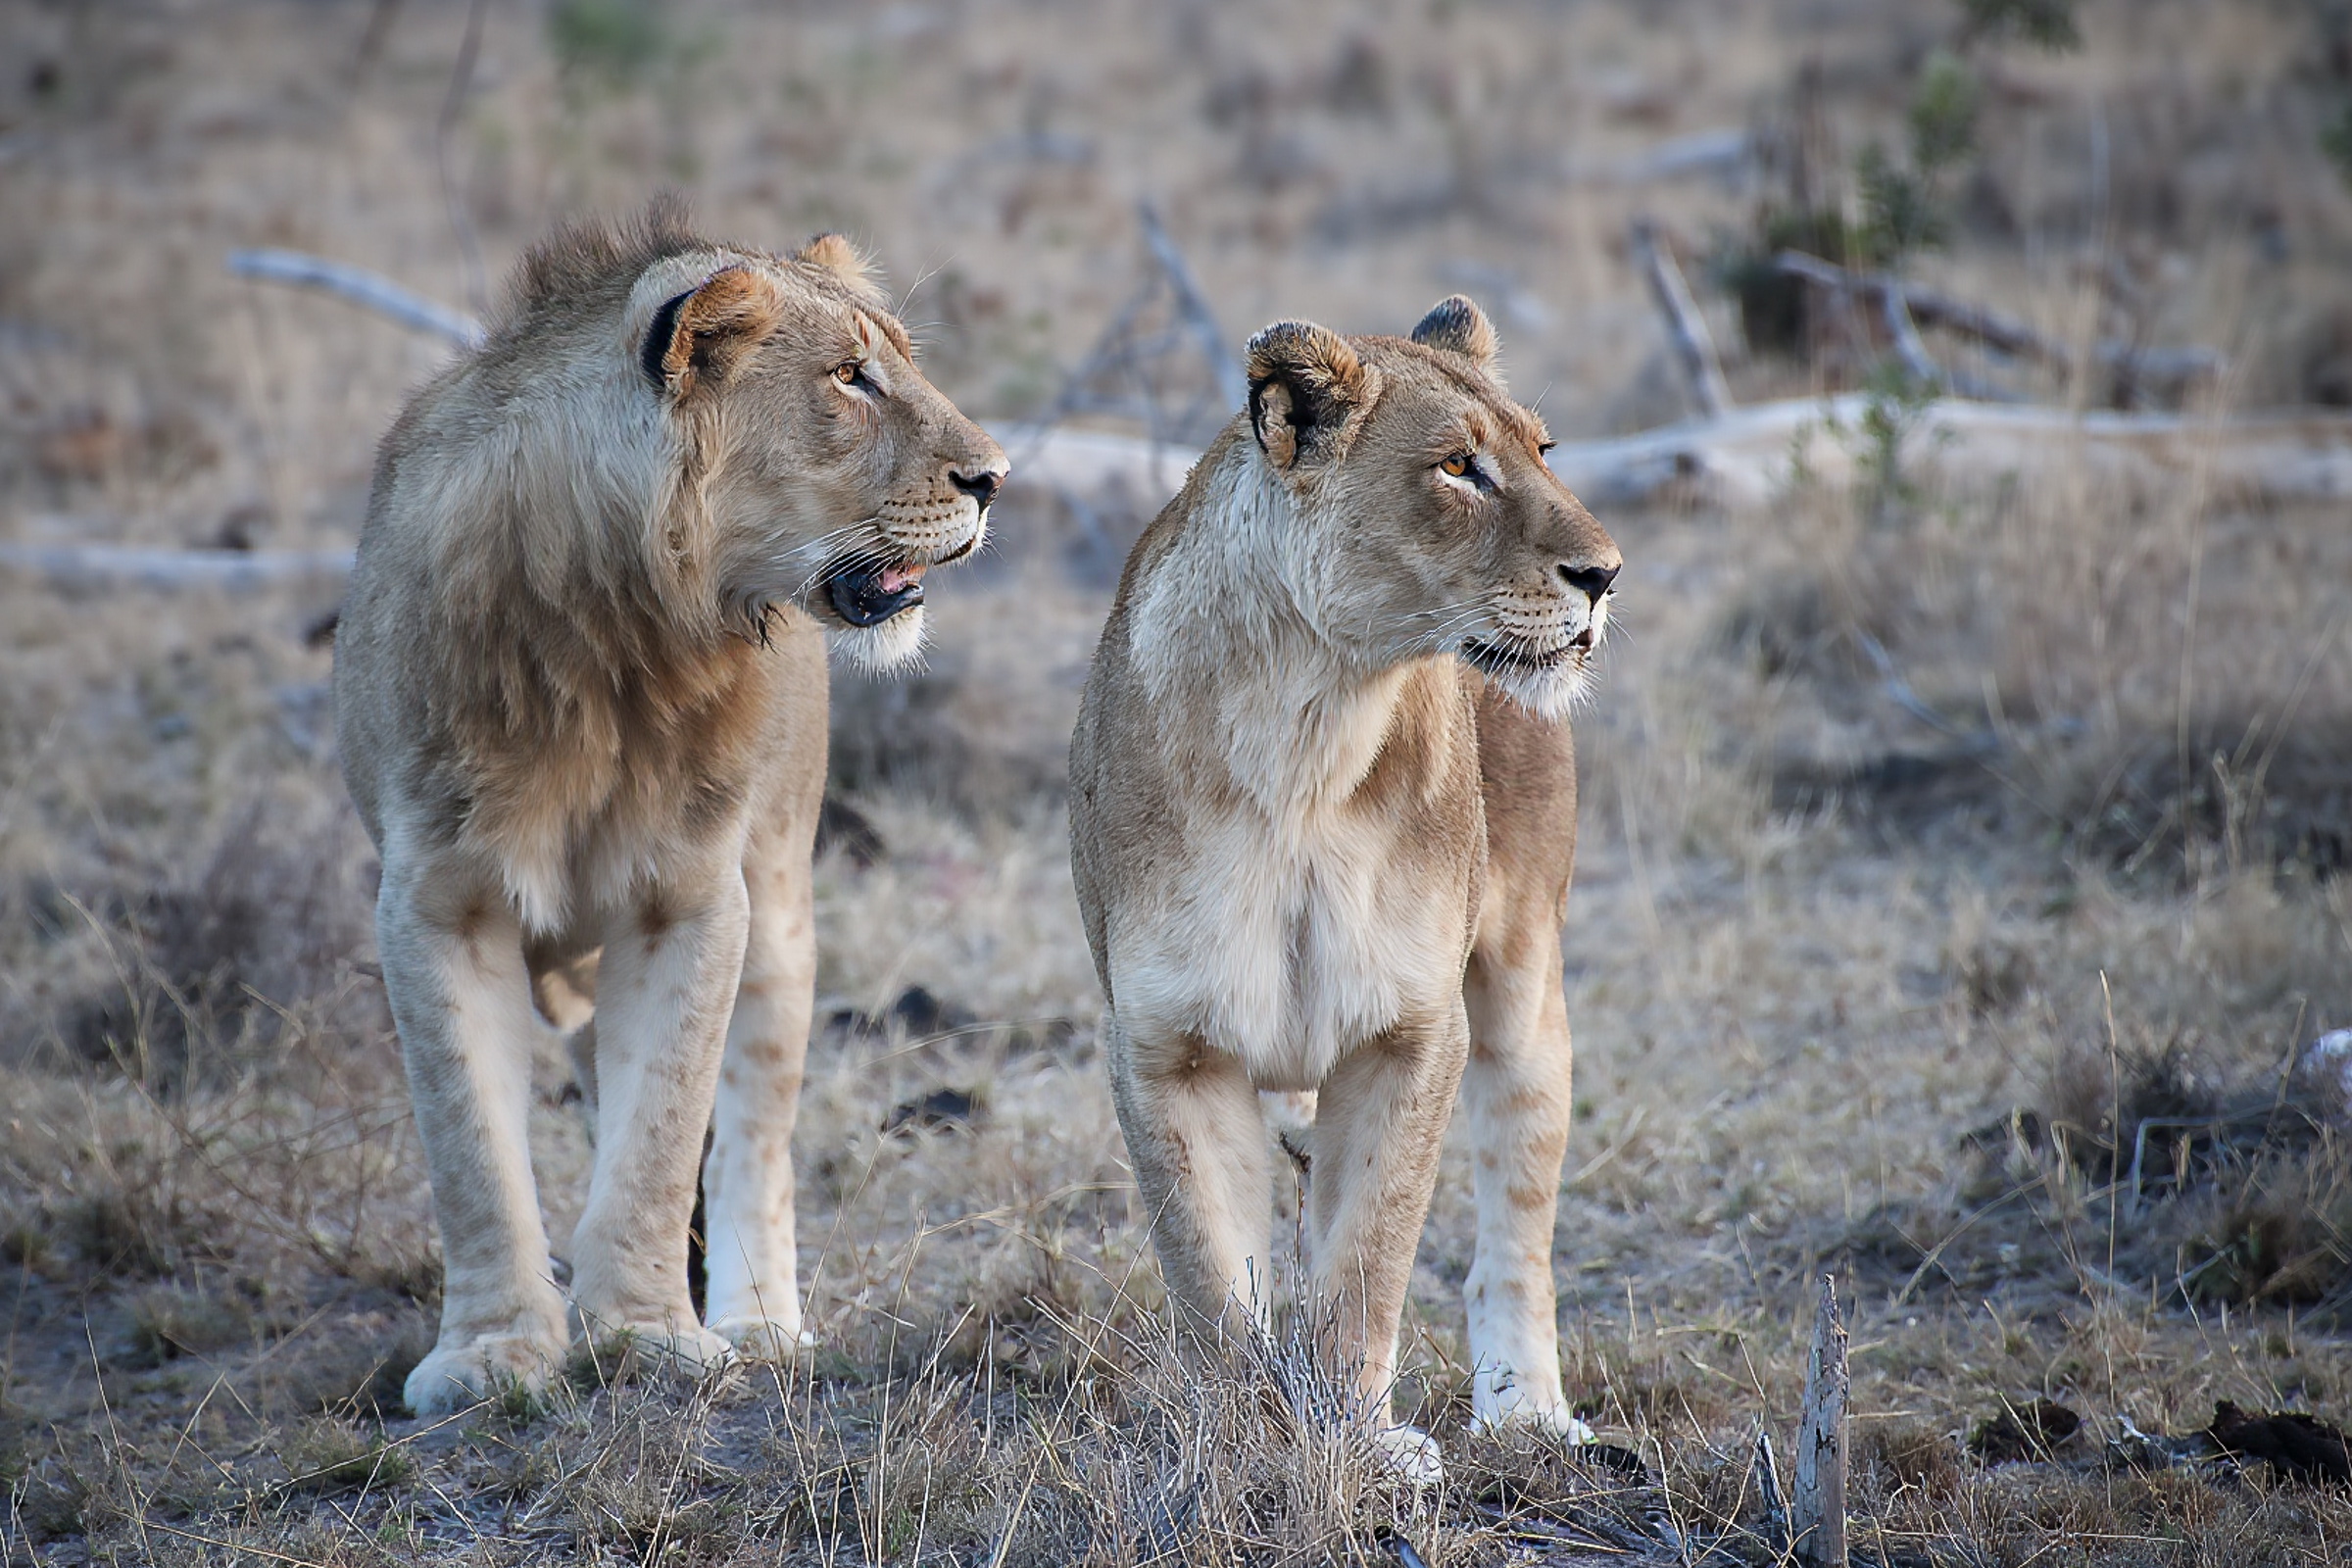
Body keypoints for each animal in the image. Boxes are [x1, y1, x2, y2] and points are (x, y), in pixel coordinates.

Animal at [334, 201, 1006, 1416]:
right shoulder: (434, 903)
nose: (997, 478)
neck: (612, 636)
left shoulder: (692, 895)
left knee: (754, 1137)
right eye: (850, 378)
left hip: (781, 902)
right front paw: (494, 1354)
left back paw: (759, 1324)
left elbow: (660, 1131)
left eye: (900, 362)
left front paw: (647, 1336)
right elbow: (471, 1148)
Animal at [1067, 296, 1620, 1475]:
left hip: (1524, 983)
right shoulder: (1167, 1045)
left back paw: (1526, 1408)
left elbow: (1368, 1259)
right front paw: (1238, 1449)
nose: (1605, 575)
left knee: (1517, 1212)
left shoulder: (1408, 1031)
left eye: (1543, 452)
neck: (1309, 728)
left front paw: (1362, 1447)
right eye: (1460, 466)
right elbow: (1212, 1282)